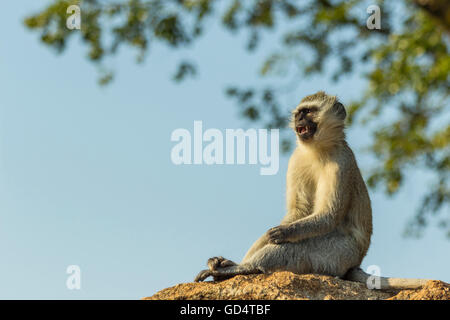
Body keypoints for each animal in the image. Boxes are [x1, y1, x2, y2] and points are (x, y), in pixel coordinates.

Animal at [195, 92, 430, 290]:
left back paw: (242, 268)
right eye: (298, 113)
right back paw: (231, 265)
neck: (318, 150)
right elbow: (298, 211)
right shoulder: (296, 159)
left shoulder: (341, 163)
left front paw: (284, 232)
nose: (298, 120)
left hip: (337, 255)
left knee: (294, 248)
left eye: (308, 112)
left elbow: (327, 216)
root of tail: (355, 262)